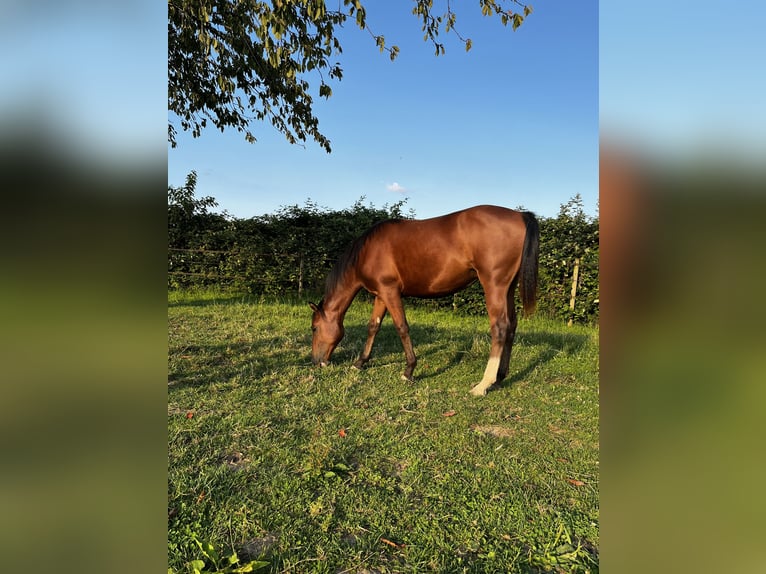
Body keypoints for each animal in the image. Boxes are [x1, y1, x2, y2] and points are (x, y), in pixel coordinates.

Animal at [308, 205, 540, 398]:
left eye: (314, 328)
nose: (317, 361)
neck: (368, 250)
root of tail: (520, 215)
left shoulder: (390, 291)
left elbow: (402, 327)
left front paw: (409, 370)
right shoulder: (380, 294)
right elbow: (373, 326)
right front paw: (359, 363)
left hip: (494, 285)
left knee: (500, 328)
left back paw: (483, 384)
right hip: (508, 288)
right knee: (511, 326)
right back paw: (500, 378)